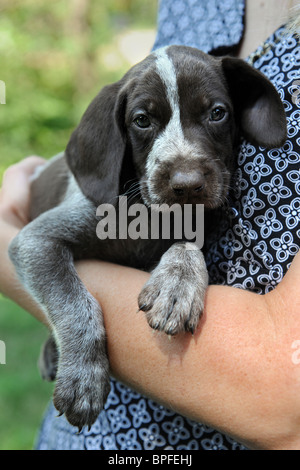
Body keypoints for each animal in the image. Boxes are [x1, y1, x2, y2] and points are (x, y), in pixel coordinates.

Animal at [8, 46, 288, 430]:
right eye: (142, 120)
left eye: (217, 113)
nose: (187, 185)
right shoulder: (36, 241)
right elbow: (74, 302)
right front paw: (83, 376)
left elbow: (186, 246)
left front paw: (178, 284)